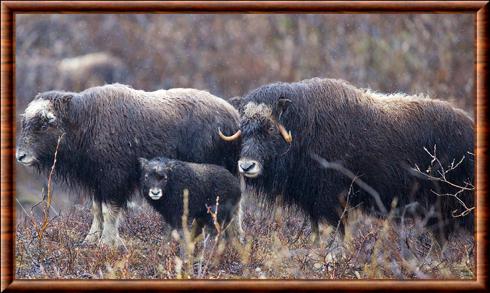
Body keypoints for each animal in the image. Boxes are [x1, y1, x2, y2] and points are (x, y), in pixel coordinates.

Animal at [16, 83, 242, 245]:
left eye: (47, 122)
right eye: (25, 121)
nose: (20, 156)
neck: (83, 125)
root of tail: (233, 117)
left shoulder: (113, 180)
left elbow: (108, 211)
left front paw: (106, 243)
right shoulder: (97, 182)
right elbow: (96, 210)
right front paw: (90, 240)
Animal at [220, 77, 472, 242]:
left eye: (270, 128)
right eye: (244, 128)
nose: (246, 166)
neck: (303, 130)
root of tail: (469, 126)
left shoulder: (331, 201)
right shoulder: (313, 203)